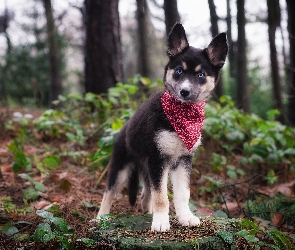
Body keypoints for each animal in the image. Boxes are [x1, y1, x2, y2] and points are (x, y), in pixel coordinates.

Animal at [97, 23, 229, 232]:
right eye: (179, 71)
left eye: (200, 75)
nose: (184, 91)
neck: (181, 116)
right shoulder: (158, 159)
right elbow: (161, 197)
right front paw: (160, 223)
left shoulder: (182, 160)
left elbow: (182, 194)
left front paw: (185, 217)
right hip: (121, 167)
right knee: (108, 193)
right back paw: (101, 218)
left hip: (146, 169)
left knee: (145, 195)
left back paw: (147, 213)